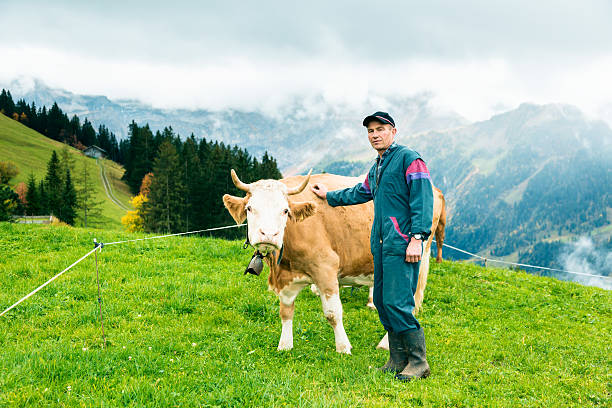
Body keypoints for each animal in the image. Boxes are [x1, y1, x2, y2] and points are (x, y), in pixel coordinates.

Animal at [222, 170, 448, 354]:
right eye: (250, 208)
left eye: (285, 210)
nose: (268, 235)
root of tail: (433, 189)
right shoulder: (287, 278)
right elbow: (285, 312)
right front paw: (285, 345)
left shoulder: (325, 267)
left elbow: (333, 313)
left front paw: (343, 347)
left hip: (414, 262)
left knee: (408, 303)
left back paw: (385, 343)